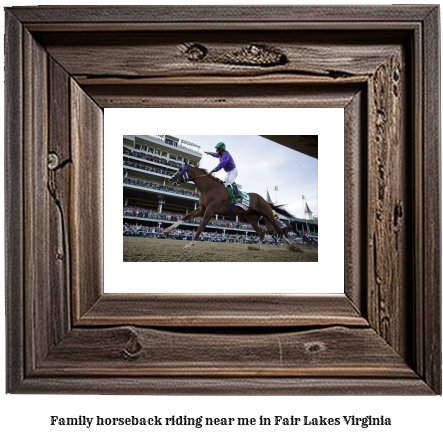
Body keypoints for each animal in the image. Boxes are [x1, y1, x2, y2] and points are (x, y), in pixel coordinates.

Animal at [163, 163, 298, 250]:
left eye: (180, 168)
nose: (170, 179)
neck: (210, 188)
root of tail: (264, 200)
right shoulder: (202, 209)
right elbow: (185, 217)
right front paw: (168, 229)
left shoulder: (210, 211)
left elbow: (201, 227)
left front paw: (190, 244)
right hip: (252, 218)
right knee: (261, 234)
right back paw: (257, 249)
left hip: (268, 214)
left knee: (279, 230)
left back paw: (291, 245)